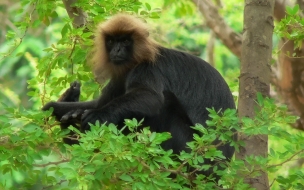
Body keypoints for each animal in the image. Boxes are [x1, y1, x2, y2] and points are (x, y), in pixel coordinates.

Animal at [42, 14, 235, 179]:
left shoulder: (147, 67)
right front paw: (60, 107)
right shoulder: (120, 75)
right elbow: (100, 102)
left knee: (165, 103)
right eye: (111, 41)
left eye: (126, 40)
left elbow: (150, 97)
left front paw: (96, 115)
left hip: (193, 155)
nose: (117, 49)